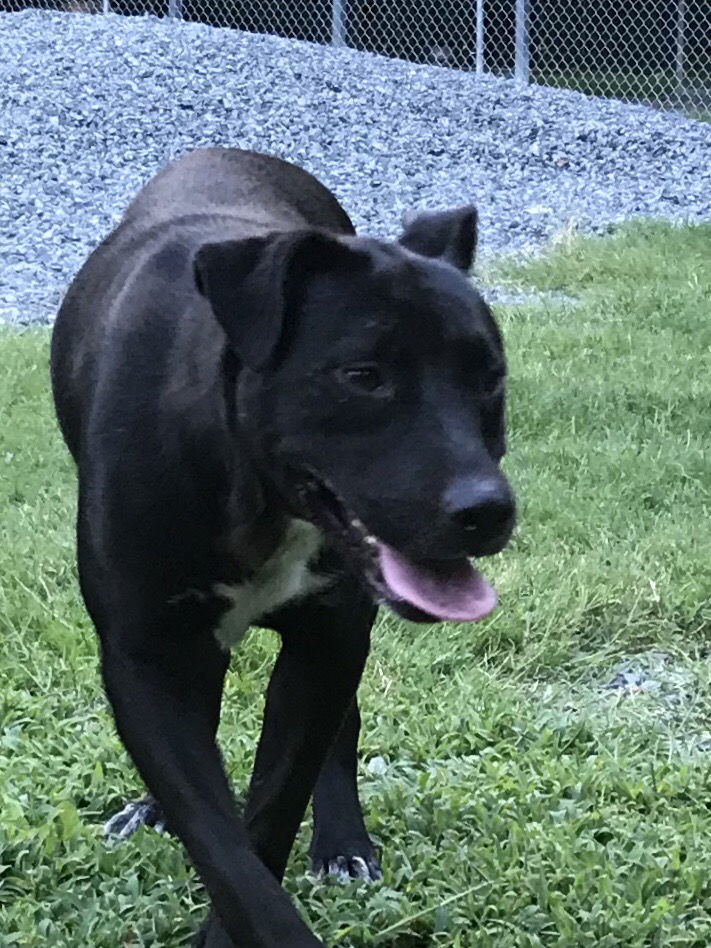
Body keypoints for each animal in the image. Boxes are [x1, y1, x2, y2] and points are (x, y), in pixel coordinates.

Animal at [51, 150, 516, 948]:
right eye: (362, 376)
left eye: (490, 379)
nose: (488, 512)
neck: (252, 491)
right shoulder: (145, 658)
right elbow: (219, 841)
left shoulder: (327, 640)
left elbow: (266, 820)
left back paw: (343, 844)